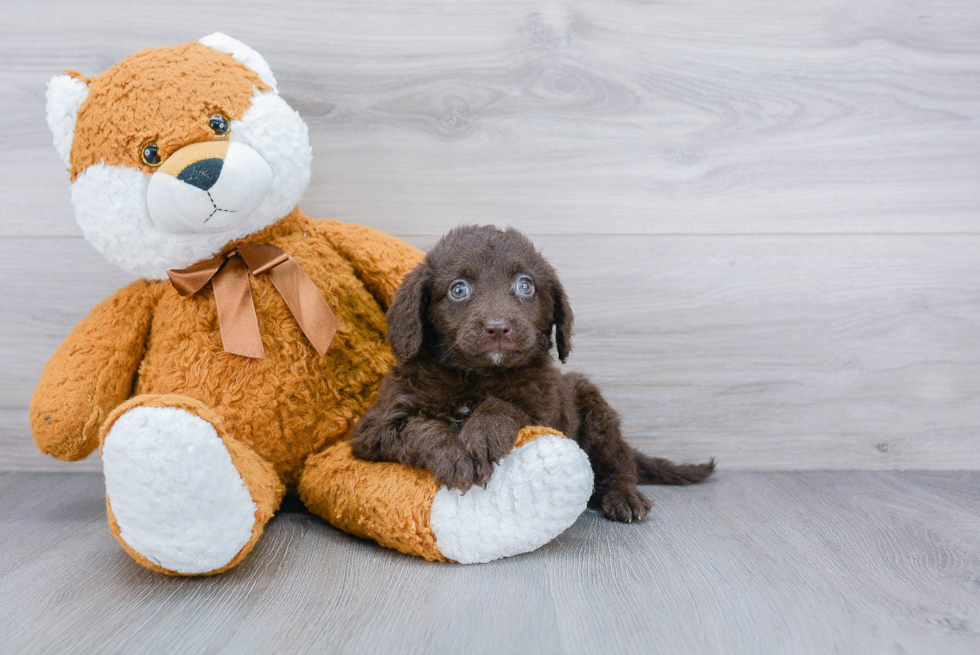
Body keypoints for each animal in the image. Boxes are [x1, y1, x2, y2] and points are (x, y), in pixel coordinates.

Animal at [352, 226, 712, 524]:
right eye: (459, 289)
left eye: (525, 285)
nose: (497, 328)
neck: (477, 377)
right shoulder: (375, 428)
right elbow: (421, 428)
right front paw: (454, 457)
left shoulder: (546, 411)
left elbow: (506, 405)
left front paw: (482, 436)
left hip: (596, 411)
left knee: (620, 464)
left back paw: (624, 496)